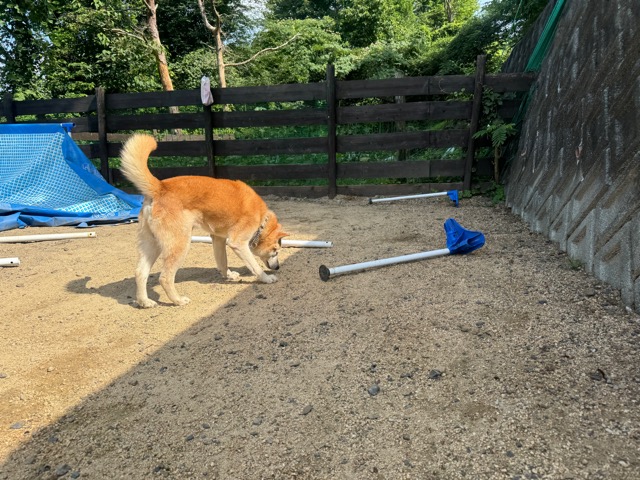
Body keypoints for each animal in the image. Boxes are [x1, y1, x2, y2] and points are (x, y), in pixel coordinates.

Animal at [119, 134, 289, 308]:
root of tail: (160, 187)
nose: (277, 267)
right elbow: (255, 266)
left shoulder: (218, 239)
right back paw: (178, 300)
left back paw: (145, 302)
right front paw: (266, 278)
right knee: (165, 277)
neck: (262, 221)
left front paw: (229, 276)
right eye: (275, 250)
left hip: (152, 244)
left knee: (140, 272)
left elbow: (222, 262)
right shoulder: (238, 243)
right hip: (180, 244)